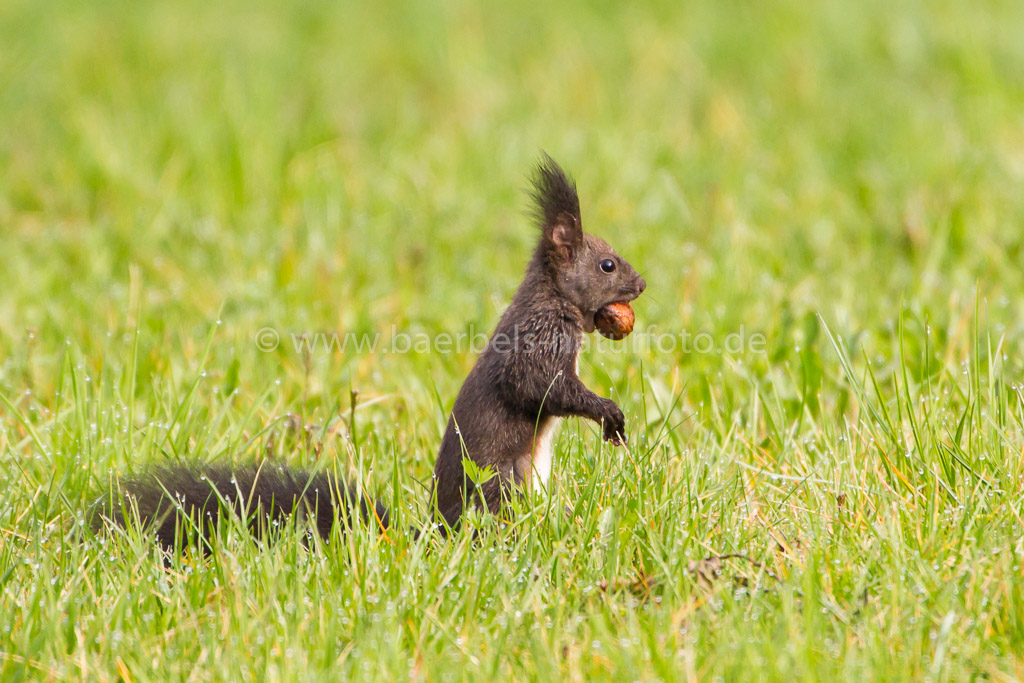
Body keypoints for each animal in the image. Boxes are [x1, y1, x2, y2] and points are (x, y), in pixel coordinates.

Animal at [96, 157, 638, 548]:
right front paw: (608, 414)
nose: (642, 285)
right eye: (608, 265)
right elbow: (539, 385)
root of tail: (437, 531)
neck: (553, 296)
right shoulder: (537, 339)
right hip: (500, 485)